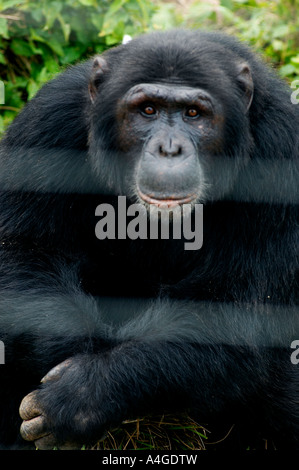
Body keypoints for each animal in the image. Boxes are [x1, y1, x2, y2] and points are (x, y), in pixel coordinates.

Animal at [0, 28, 298, 448]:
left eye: (194, 114)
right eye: (148, 110)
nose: (169, 147)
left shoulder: (283, 150)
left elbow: (234, 308)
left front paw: (87, 393)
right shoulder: (47, 120)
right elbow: (24, 252)